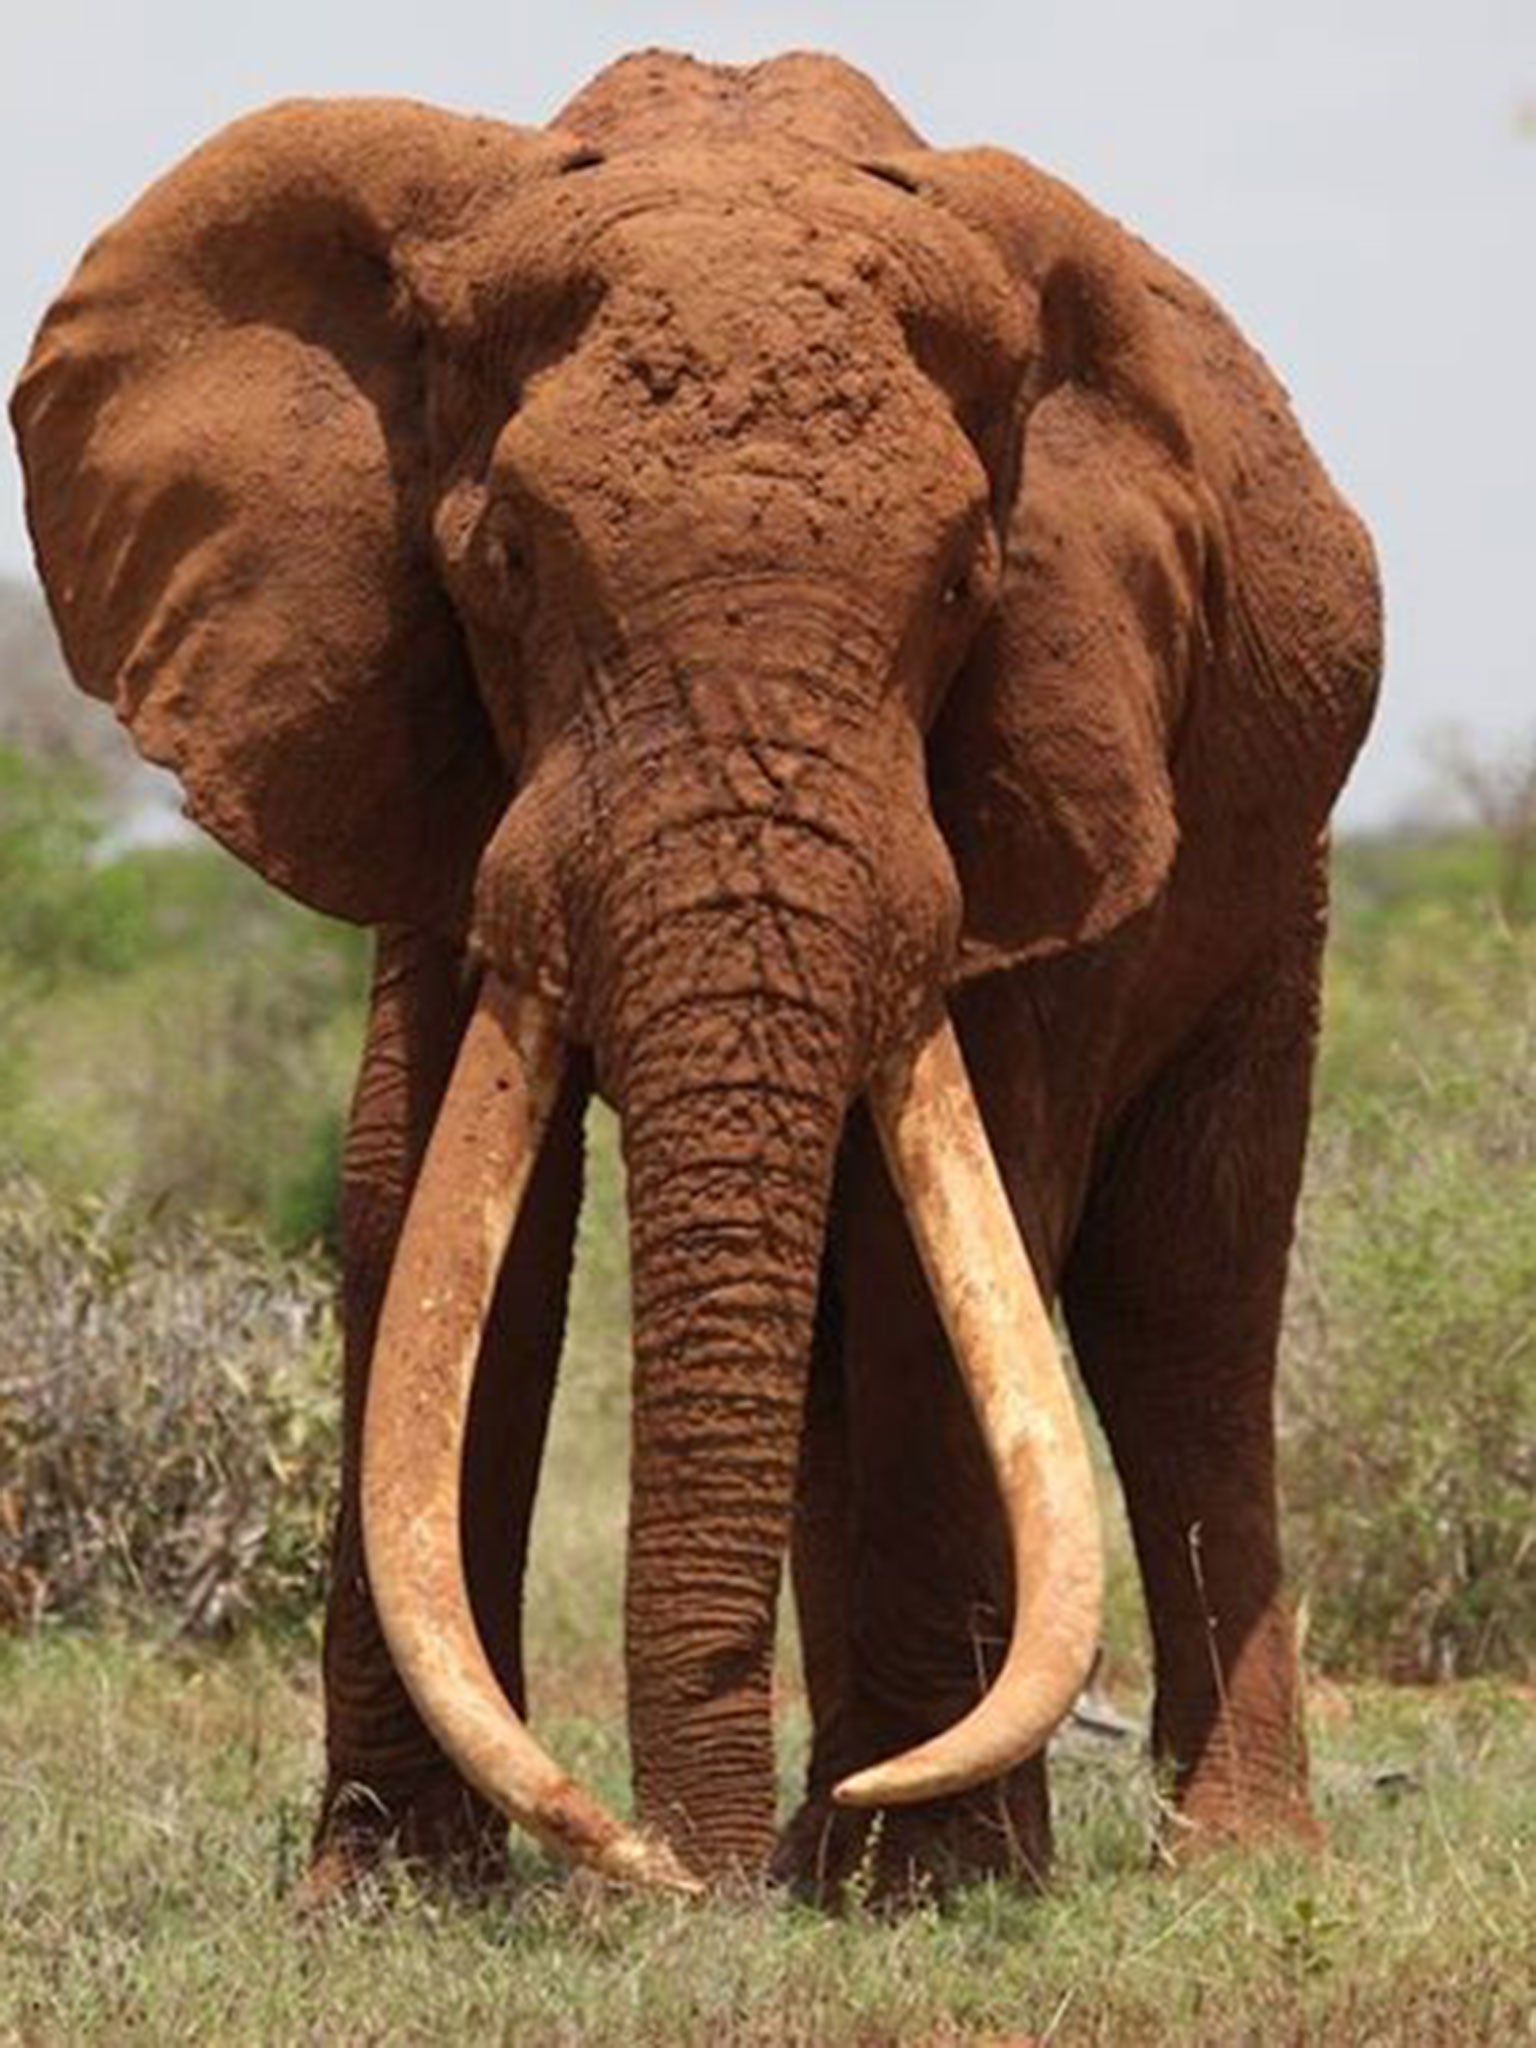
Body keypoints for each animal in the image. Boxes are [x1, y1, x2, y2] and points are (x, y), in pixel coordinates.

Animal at [9, 48, 1384, 1900]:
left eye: (965, 583)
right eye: (506, 563)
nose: (679, 1875)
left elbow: (957, 1238)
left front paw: (932, 1888)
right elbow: (419, 1204)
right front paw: (391, 1893)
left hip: (1275, 870)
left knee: (1183, 1297)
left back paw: (1206, 1863)